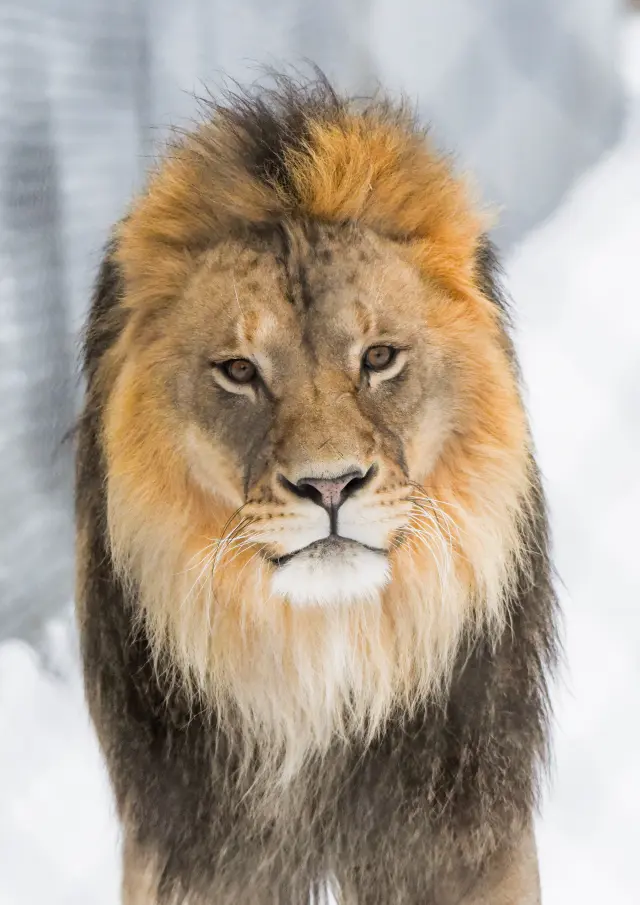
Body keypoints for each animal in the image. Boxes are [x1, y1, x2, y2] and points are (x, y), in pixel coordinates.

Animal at [75, 75, 558, 905]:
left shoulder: (460, 841)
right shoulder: (190, 851)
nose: (330, 484)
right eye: (239, 370)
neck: (324, 665)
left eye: (380, 357)